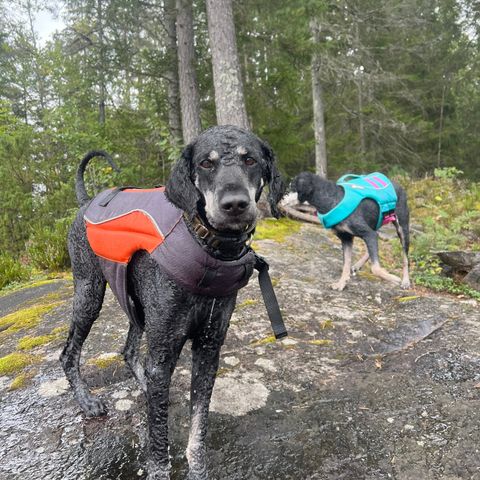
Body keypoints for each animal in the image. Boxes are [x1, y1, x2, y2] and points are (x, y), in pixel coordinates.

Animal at [60, 125, 284, 478]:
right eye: (206, 163)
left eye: (250, 160)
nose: (235, 204)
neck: (208, 246)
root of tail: (86, 203)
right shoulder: (165, 346)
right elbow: (158, 439)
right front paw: (158, 468)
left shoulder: (207, 349)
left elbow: (198, 424)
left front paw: (198, 467)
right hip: (89, 293)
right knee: (69, 353)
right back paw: (88, 401)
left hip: (138, 306)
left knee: (130, 352)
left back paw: (145, 386)